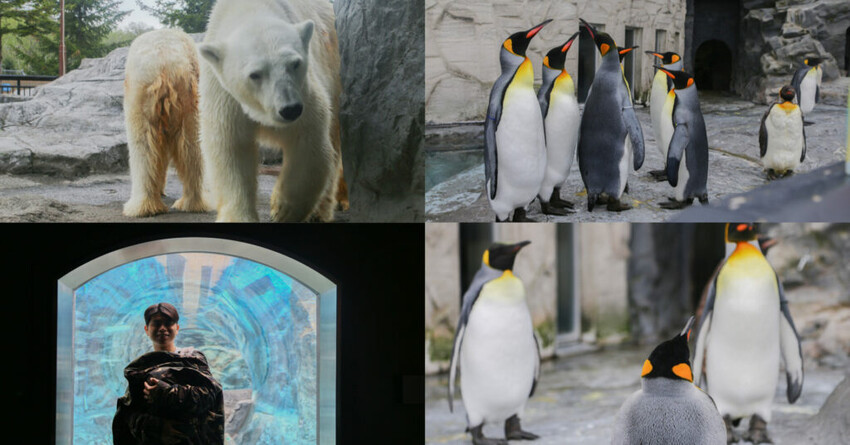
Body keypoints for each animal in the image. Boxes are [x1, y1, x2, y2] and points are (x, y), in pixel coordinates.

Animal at [123, 28, 209, 217]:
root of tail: (164, 65)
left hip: (142, 94)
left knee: (143, 146)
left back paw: (143, 206)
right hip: (186, 92)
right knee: (192, 146)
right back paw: (190, 203)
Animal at [198, 0, 344, 222]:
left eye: (295, 63)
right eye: (255, 74)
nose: (290, 109)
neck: (250, 9)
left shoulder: (305, 92)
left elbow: (308, 144)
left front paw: (282, 210)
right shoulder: (224, 96)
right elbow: (230, 149)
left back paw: (321, 212)